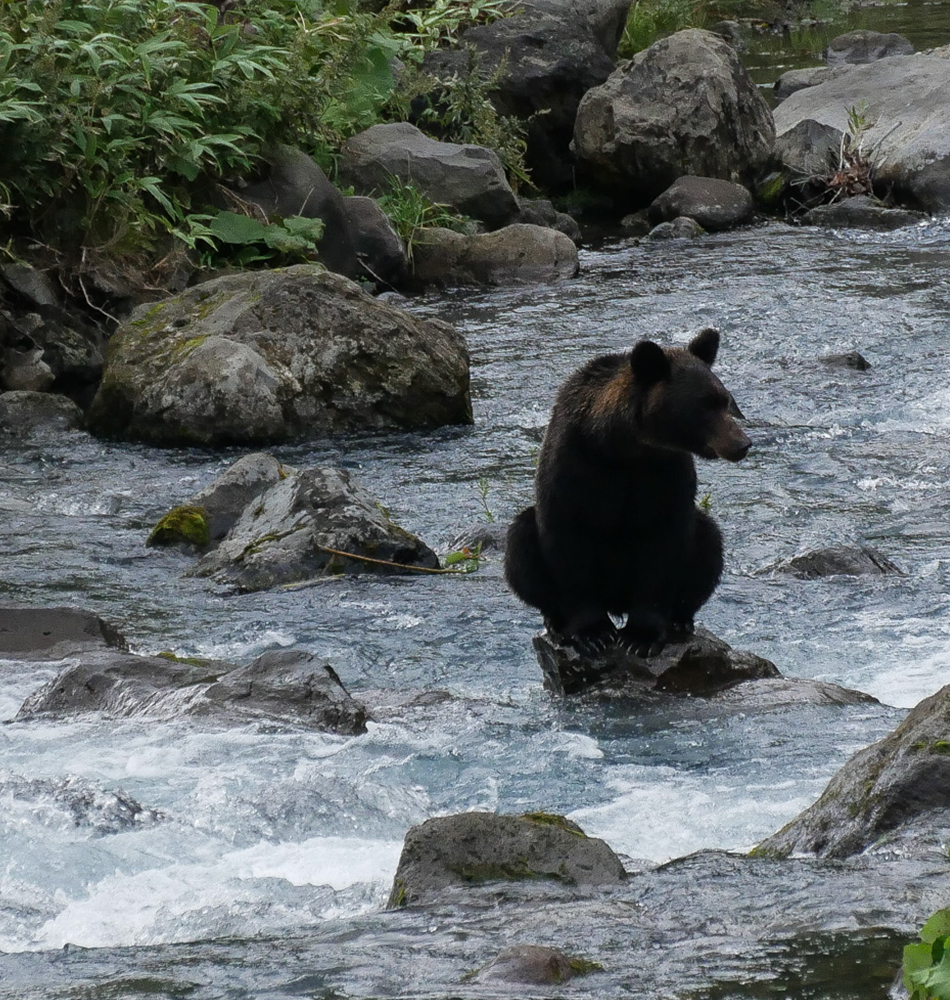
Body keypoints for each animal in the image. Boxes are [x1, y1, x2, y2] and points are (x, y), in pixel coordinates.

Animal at [506, 328, 752, 656]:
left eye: (725, 400)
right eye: (704, 405)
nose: (742, 443)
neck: (623, 448)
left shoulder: (665, 475)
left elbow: (664, 545)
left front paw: (640, 636)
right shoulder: (573, 466)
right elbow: (567, 543)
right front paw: (593, 633)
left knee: (708, 541)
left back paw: (681, 620)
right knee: (521, 543)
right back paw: (556, 622)